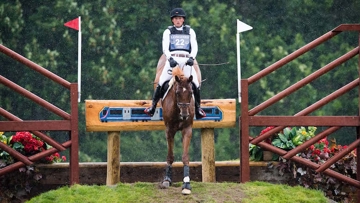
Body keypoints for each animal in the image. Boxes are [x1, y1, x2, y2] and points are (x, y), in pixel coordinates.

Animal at [160, 65, 194, 195]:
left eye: (191, 92)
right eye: (178, 93)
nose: (184, 115)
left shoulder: (187, 130)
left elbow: (185, 157)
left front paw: (186, 184)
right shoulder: (169, 131)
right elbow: (170, 155)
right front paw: (167, 180)